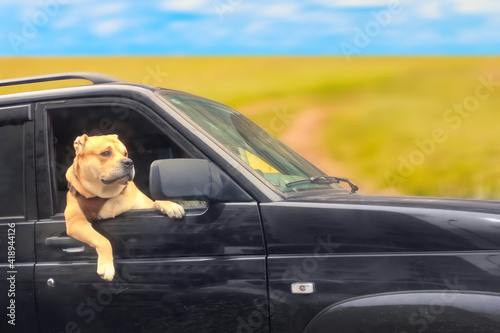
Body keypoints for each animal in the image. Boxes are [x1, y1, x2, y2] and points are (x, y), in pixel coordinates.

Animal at [63, 134, 185, 278]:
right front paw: (107, 266)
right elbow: (103, 240)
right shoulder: (76, 223)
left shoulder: (142, 205)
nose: (129, 162)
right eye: (106, 153)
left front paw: (171, 205)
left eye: (125, 153)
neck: (106, 194)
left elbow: (155, 202)